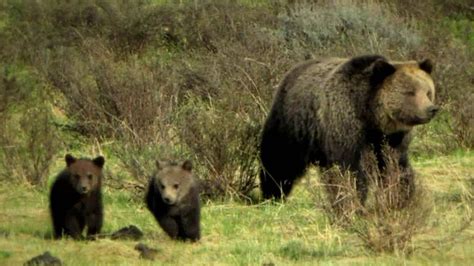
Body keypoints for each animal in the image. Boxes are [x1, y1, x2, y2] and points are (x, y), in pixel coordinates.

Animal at [262, 55, 438, 203]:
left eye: (428, 92)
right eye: (410, 92)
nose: (431, 109)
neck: (371, 116)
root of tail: (294, 70)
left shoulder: (392, 139)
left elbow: (394, 166)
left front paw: (401, 197)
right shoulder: (346, 127)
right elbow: (349, 170)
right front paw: (351, 200)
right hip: (294, 124)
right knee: (280, 159)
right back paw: (273, 194)